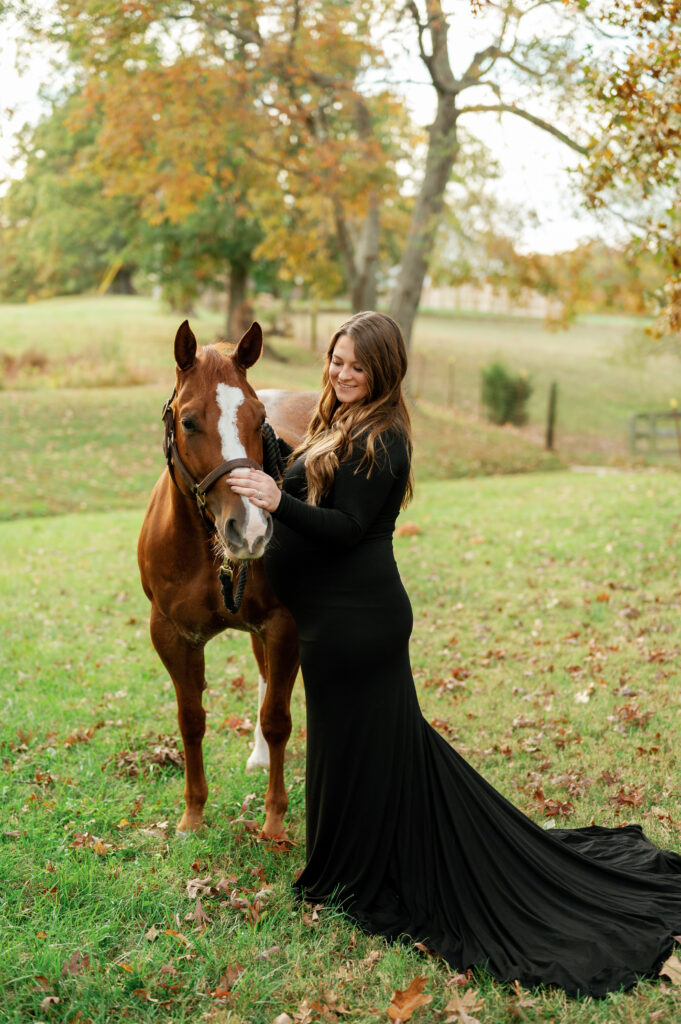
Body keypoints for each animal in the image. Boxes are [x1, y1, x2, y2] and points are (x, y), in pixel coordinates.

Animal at [139, 317, 319, 831]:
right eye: (188, 421)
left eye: (258, 419)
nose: (251, 529)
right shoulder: (172, 635)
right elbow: (191, 720)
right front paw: (193, 815)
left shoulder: (284, 624)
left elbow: (278, 718)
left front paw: (274, 821)